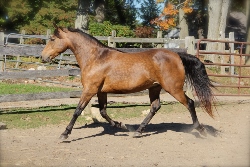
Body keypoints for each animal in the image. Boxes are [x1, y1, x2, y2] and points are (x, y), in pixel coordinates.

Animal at [41, 24, 215, 140]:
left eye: (52, 39)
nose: (43, 57)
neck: (96, 58)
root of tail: (177, 55)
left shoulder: (90, 90)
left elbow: (78, 110)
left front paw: (65, 134)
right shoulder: (101, 91)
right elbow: (103, 111)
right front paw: (121, 125)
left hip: (173, 88)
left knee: (190, 103)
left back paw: (201, 130)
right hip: (154, 88)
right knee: (155, 107)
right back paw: (138, 131)